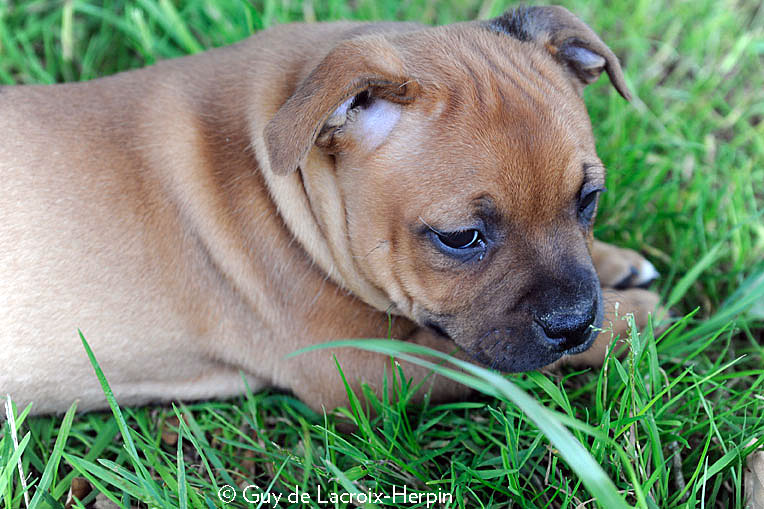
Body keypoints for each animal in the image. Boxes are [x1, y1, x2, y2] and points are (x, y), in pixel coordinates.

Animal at [0, 5, 656, 414]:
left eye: (589, 199)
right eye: (460, 237)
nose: (573, 322)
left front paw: (616, 265)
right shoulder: (357, 365)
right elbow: (475, 361)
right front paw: (636, 317)